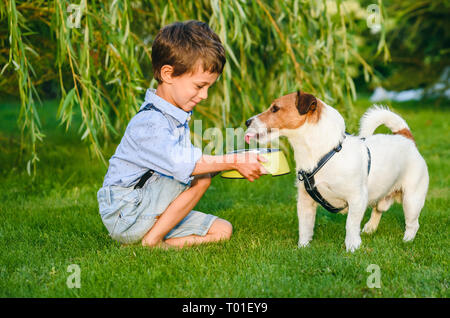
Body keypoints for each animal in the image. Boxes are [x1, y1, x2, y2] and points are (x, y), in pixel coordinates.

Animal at [246, 90, 428, 252]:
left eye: (275, 108)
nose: (247, 121)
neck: (323, 153)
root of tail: (406, 138)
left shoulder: (357, 198)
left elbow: (350, 225)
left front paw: (352, 247)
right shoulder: (305, 201)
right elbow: (305, 227)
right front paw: (303, 248)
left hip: (412, 199)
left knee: (413, 223)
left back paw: (407, 240)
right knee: (378, 211)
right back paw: (369, 229)